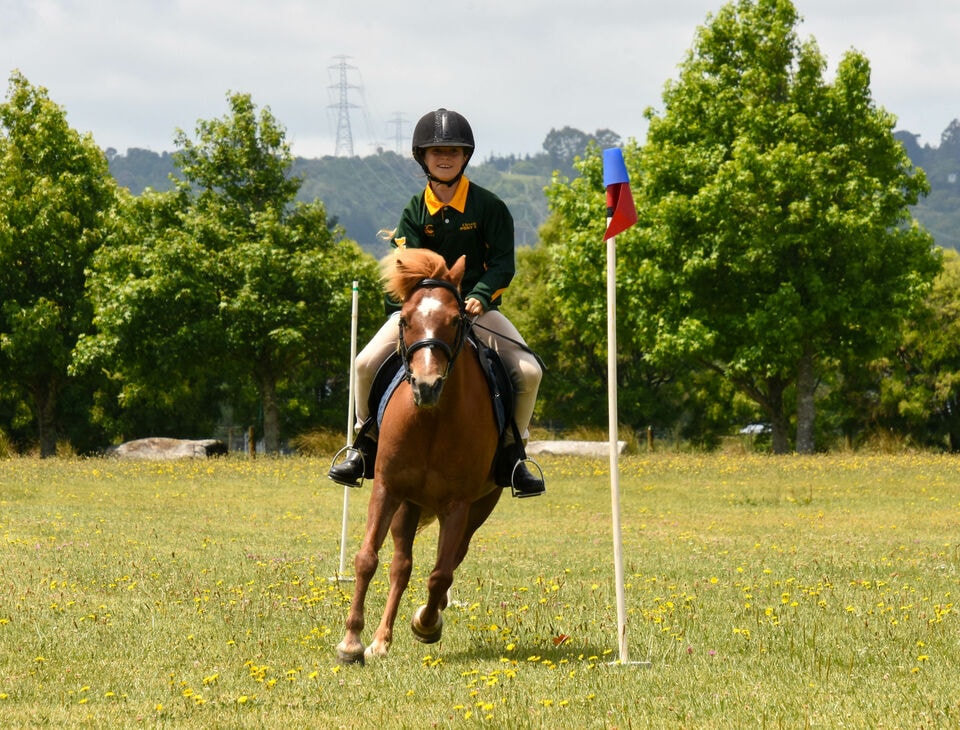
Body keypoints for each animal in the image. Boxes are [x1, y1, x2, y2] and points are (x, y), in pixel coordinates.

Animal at [335, 247, 502, 664]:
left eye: (456, 320)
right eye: (406, 319)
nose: (427, 386)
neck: (431, 420)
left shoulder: (459, 504)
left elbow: (441, 572)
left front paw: (426, 624)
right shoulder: (388, 489)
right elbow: (367, 559)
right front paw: (351, 641)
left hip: (479, 507)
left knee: (451, 561)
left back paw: (429, 614)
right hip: (408, 505)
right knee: (401, 566)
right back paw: (380, 639)